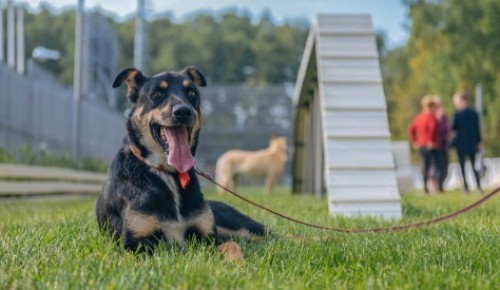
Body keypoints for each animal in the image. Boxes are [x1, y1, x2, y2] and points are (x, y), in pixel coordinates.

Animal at [94, 66, 266, 260]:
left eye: (191, 92)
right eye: (157, 93)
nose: (183, 111)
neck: (167, 173)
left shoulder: (208, 238)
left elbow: (232, 246)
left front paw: (238, 263)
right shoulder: (135, 244)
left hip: (240, 228)